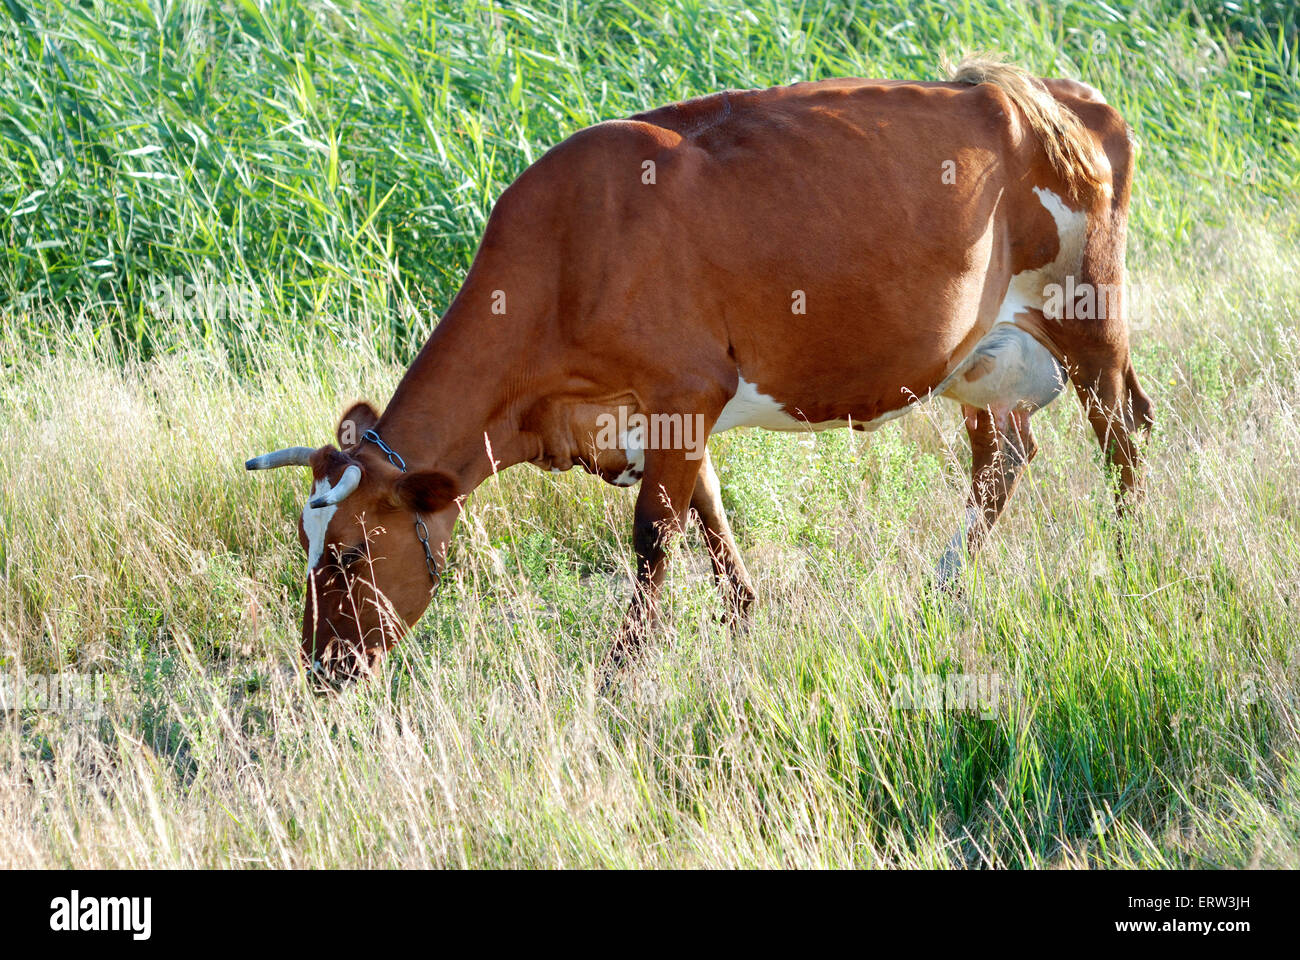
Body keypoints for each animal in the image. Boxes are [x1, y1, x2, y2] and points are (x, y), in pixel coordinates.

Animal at [246, 56, 1154, 687]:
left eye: (348, 554)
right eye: (303, 543)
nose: (322, 668)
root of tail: (1051, 90)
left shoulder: (686, 389)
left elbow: (655, 534)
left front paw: (621, 670)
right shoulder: (650, 417)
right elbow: (710, 518)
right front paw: (746, 622)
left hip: (1087, 310)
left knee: (1121, 431)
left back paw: (1128, 557)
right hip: (982, 357)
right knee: (1003, 458)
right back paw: (946, 585)